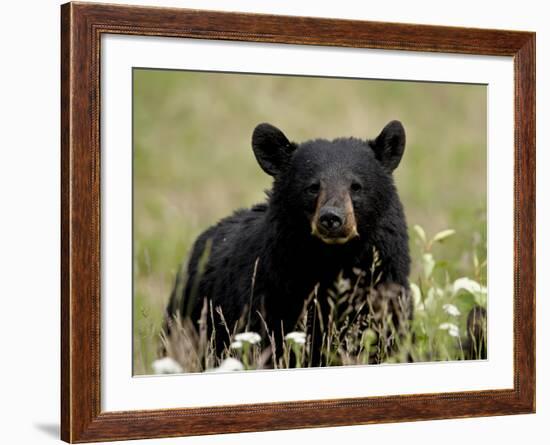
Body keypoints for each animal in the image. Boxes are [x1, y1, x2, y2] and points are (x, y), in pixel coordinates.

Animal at [166, 119, 412, 362]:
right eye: (313, 187)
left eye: (356, 186)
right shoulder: (270, 297)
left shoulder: (387, 292)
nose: (331, 218)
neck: (334, 261)